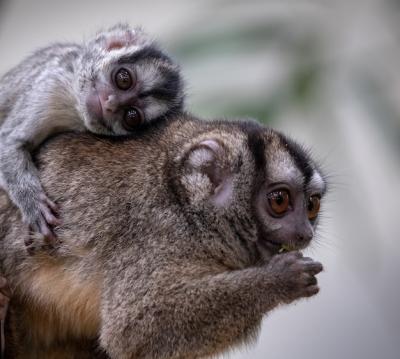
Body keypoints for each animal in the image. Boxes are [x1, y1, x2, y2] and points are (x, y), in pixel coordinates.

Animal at [0, 22, 184, 248]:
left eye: (131, 116)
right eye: (124, 79)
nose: (111, 104)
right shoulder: (50, 84)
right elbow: (9, 142)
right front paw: (33, 204)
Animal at [0, 114, 326, 358]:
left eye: (311, 206)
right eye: (279, 201)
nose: (305, 232)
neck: (188, 212)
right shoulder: (156, 234)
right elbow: (132, 330)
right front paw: (282, 279)